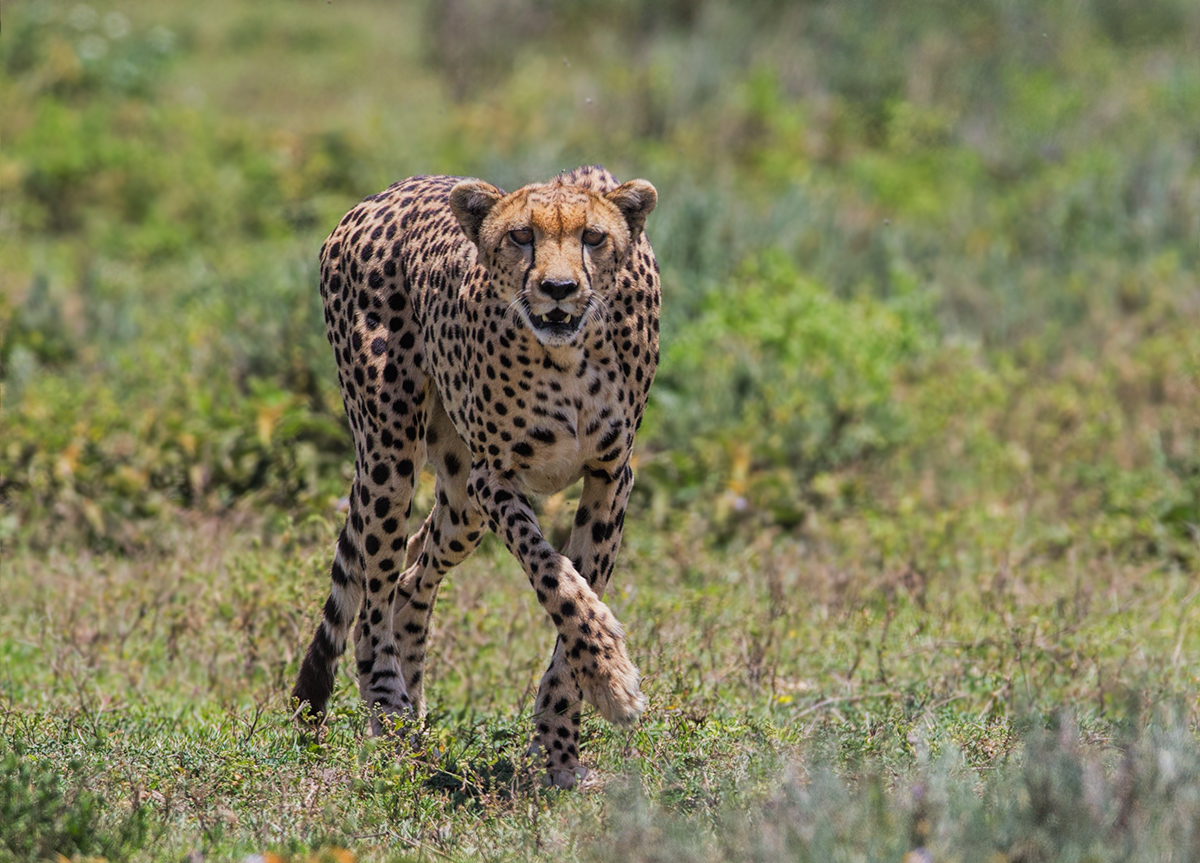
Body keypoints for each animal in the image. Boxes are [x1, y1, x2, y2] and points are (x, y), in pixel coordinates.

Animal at [292, 165, 660, 789]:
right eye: (521, 236)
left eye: (592, 237)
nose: (558, 289)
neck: (568, 356)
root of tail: (382, 194)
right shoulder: (497, 477)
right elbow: (557, 580)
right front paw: (610, 679)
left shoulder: (611, 475)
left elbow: (576, 598)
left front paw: (561, 748)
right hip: (390, 457)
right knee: (372, 599)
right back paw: (392, 718)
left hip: (461, 503)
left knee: (412, 575)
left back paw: (415, 709)